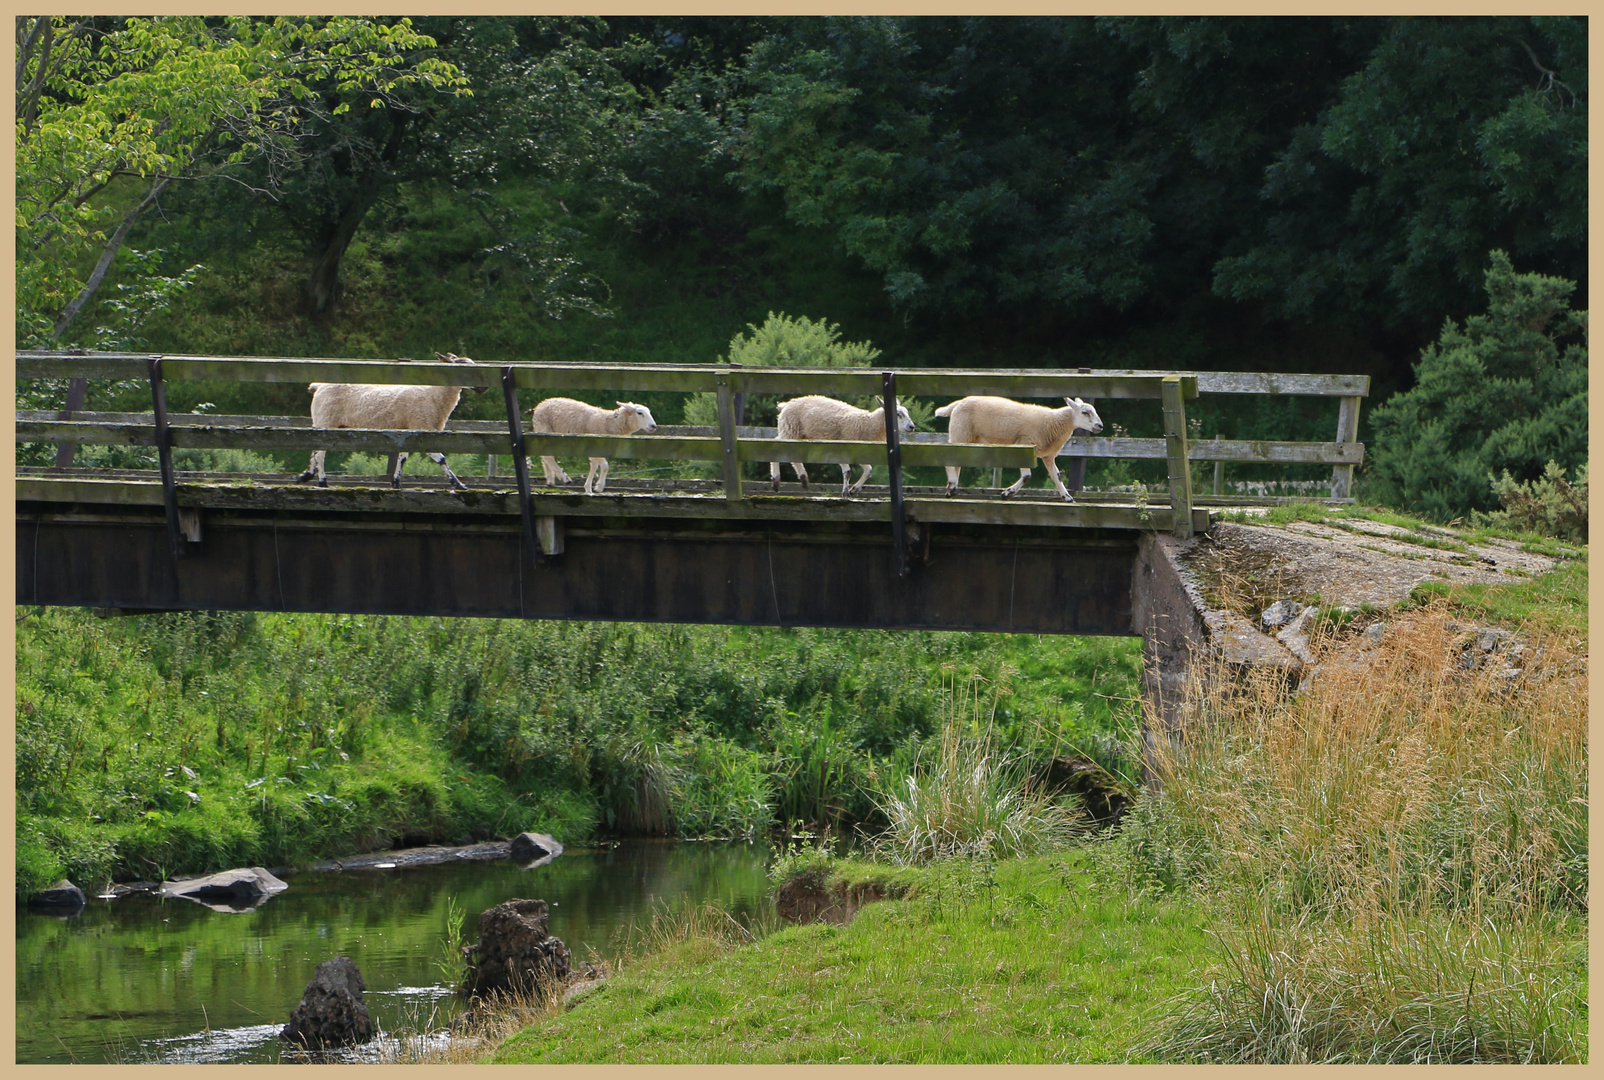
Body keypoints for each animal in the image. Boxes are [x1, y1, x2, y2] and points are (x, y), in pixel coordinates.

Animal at [296, 351, 481, 491]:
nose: (483, 387)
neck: (434, 394)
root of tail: (319, 386)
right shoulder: (422, 427)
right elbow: (440, 458)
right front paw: (459, 485)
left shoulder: (410, 431)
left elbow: (402, 457)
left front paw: (396, 482)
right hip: (326, 420)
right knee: (319, 453)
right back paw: (322, 482)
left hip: (323, 422)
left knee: (314, 451)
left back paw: (306, 476)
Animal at [522, 397, 654, 494]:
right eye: (639, 413)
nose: (653, 426)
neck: (608, 423)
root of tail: (539, 406)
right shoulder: (594, 446)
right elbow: (604, 466)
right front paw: (597, 487)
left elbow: (595, 466)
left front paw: (591, 487)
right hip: (544, 429)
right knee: (548, 457)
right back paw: (564, 478)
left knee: (545, 456)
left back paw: (550, 479)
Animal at [773, 396, 923, 497]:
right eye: (898, 414)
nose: (912, 427)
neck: (869, 424)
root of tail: (786, 405)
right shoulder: (843, 447)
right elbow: (848, 472)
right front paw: (846, 493)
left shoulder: (859, 450)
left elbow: (868, 470)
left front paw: (854, 490)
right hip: (790, 430)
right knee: (776, 447)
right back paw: (776, 482)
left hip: (797, 434)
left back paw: (803, 479)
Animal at [930, 393, 1103, 500]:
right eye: (1085, 412)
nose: (1100, 426)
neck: (1054, 421)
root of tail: (958, 403)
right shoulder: (1025, 445)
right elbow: (1027, 476)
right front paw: (1007, 494)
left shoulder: (1048, 455)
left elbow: (1057, 476)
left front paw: (1067, 497)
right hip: (960, 432)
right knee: (950, 459)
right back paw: (952, 486)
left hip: (966, 437)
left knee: (957, 461)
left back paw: (951, 489)